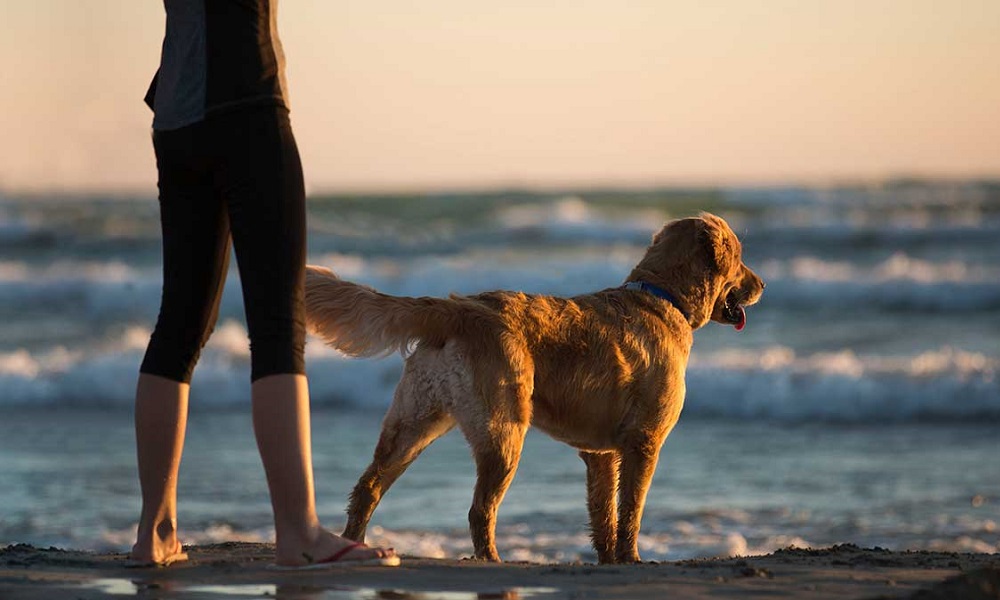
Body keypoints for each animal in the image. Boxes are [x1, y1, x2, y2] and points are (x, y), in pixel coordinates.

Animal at [304, 211, 764, 564]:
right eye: (740, 258)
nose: (761, 285)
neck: (662, 297)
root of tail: (459, 308)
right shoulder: (644, 442)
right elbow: (631, 510)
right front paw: (631, 558)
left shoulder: (600, 453)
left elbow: (604, 514)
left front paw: (608, 560)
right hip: (503, 431)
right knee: (479, 509)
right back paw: (491, 560)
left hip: (414, 422)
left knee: (368, 487)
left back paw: (355, 545)